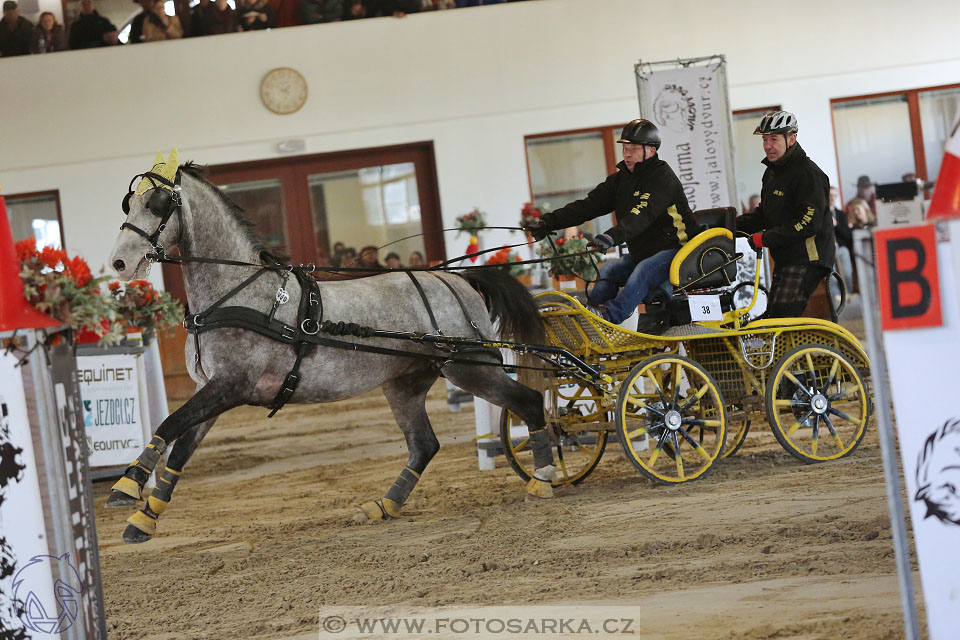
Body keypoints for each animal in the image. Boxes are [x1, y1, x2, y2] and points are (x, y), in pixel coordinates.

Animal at [107, 162, 556, 544]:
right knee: (424, 444)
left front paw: (126, 486)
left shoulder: (231, 386)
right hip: (405, 383)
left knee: (529, 402)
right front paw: (144, 517)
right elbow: (181, 446)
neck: (236, 294)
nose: (119, 262)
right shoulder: (214, 390)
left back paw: (544, 478)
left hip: (470, 369)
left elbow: (169, 423)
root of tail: (459, 280)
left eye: (158, 203)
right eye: (129, 204)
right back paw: (384, 505)